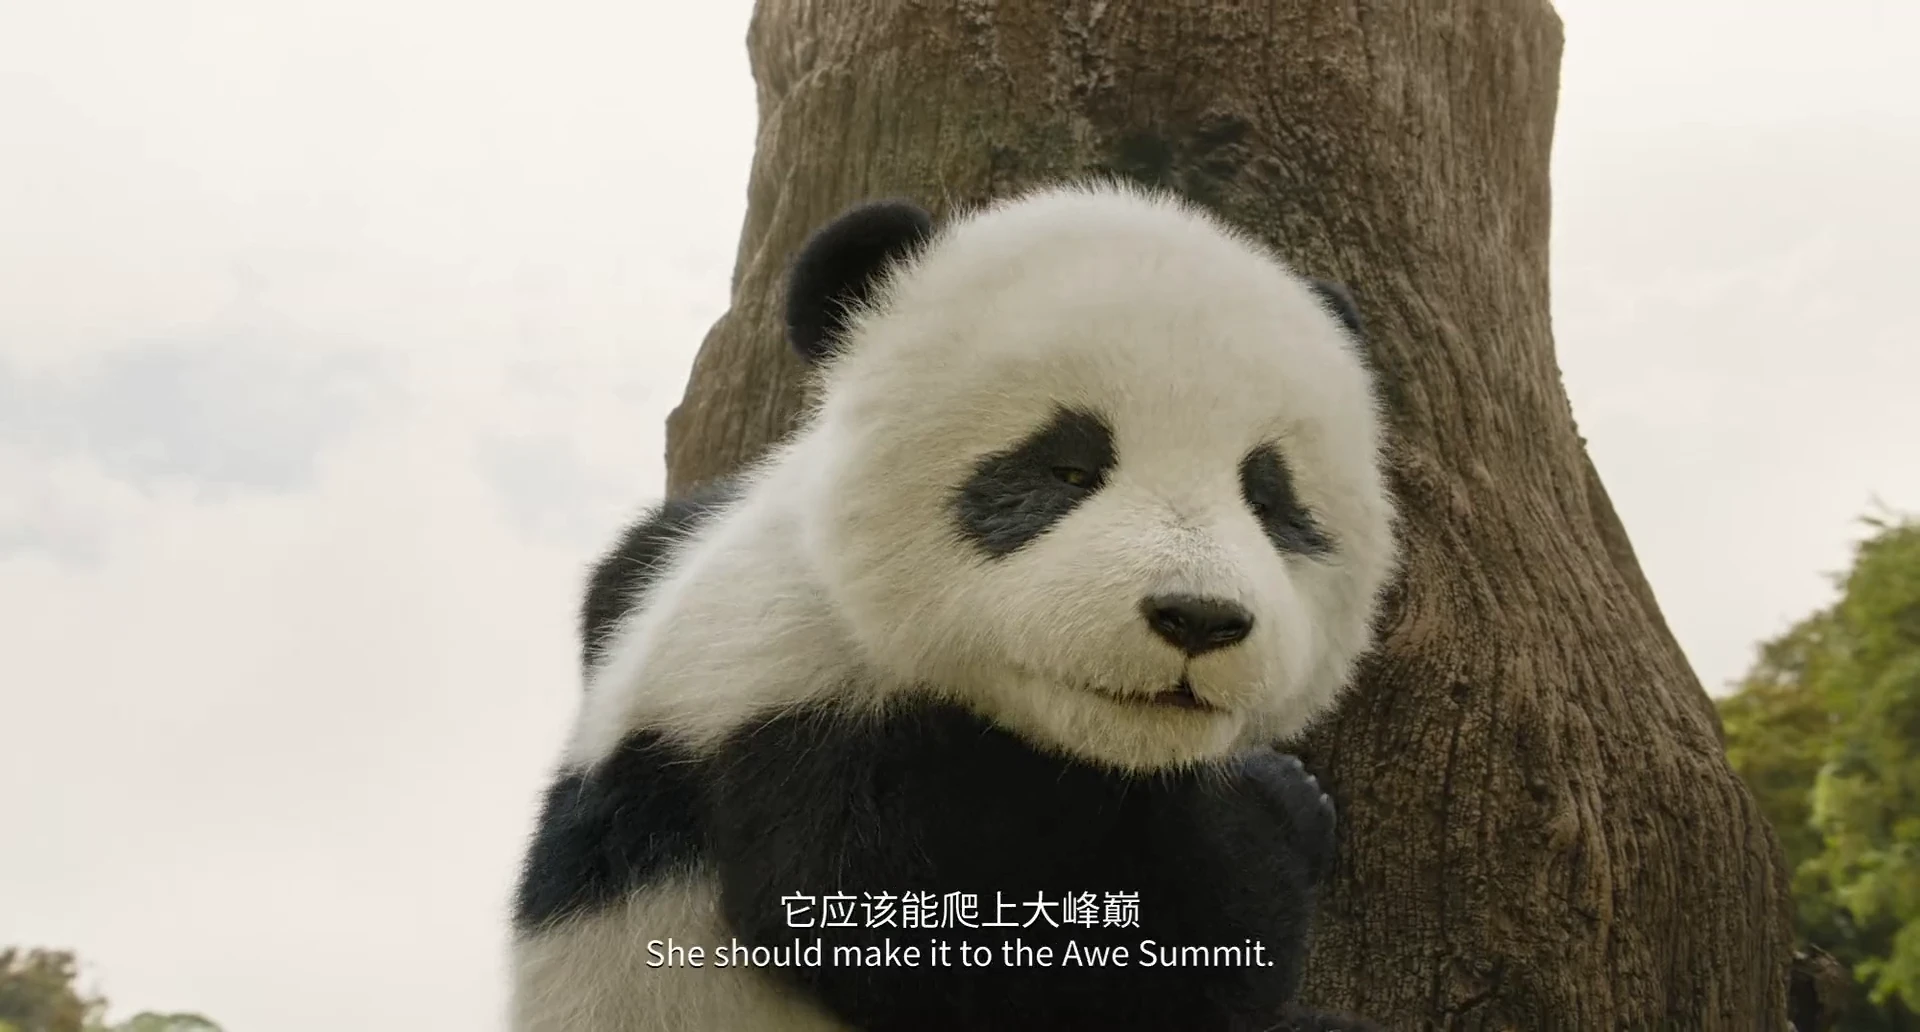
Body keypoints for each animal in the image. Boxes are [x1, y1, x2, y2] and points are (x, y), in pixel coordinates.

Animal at [510, 181, 1401, 1032]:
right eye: (1067, 468)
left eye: (1268, 497)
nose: (1199, 618)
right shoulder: (817, 754)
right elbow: (1074, 960)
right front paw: (1282, 802)